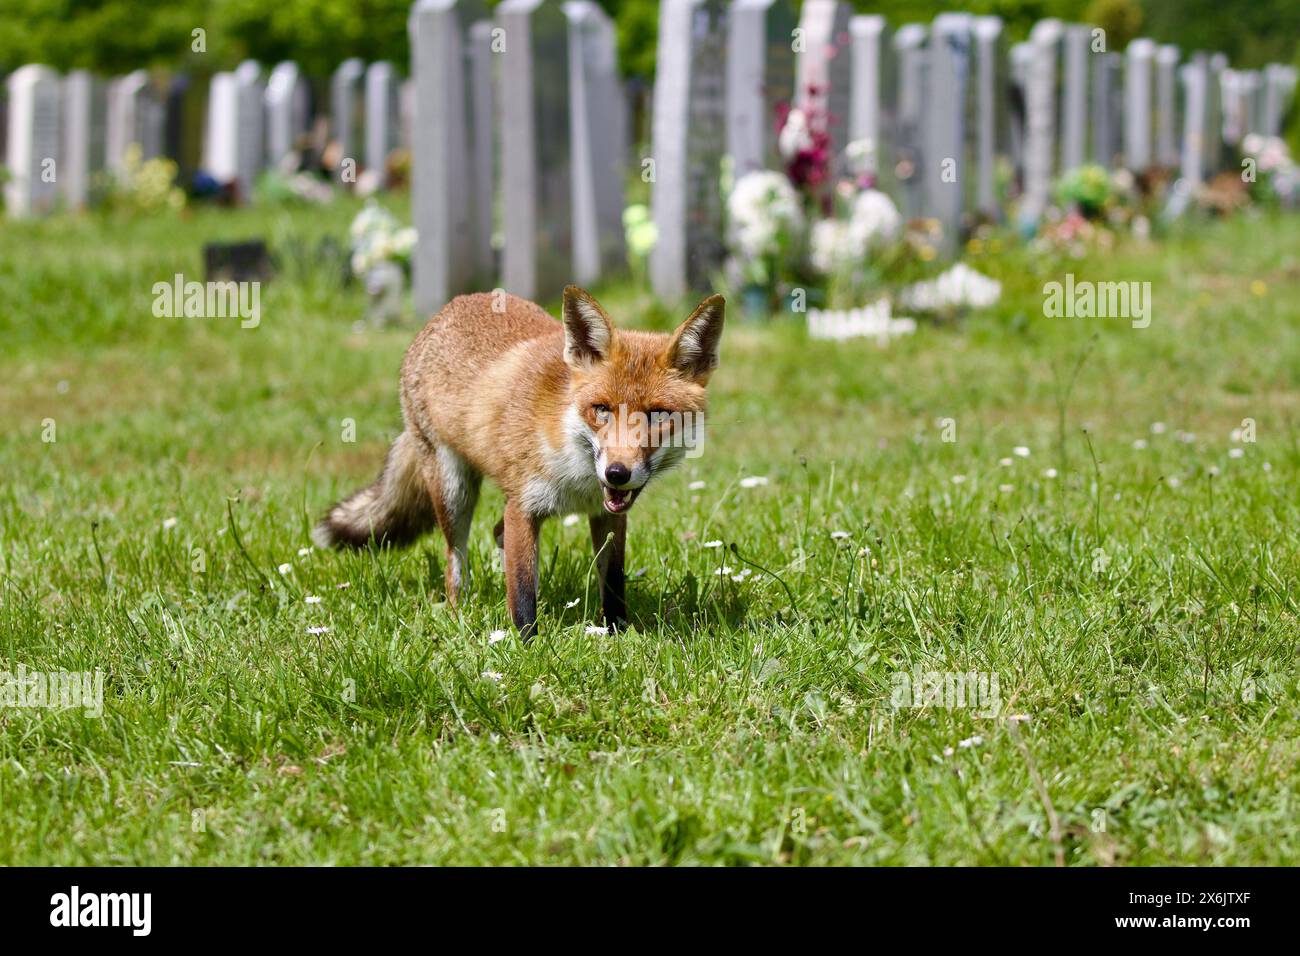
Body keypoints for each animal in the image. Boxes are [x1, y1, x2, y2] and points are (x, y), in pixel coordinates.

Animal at [313, 285, 726, 638]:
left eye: (659, 416)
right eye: (602, 410)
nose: (617, 473)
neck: (575, 469)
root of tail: (454, 304)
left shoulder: (607, 514)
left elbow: (613, 583)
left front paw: (617, 634)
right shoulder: (523, 507)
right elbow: (524, 593)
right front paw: (529, 649)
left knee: (496, 534)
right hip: (453, 492)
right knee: (454, 564)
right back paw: (458, 616)